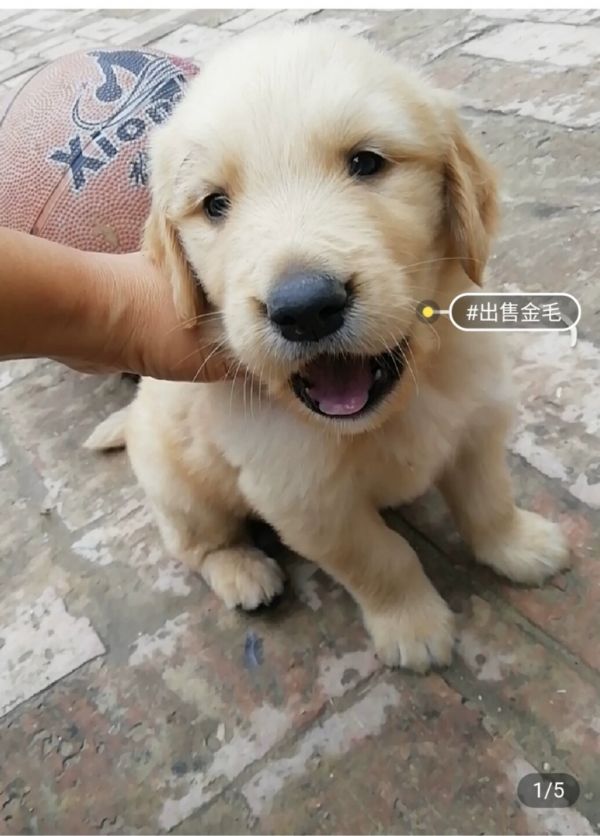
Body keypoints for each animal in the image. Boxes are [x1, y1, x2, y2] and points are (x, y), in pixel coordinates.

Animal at [86, 25, 569, 673]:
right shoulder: (307, 501)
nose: (305, 308)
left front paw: (520, 547)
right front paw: (414, 628)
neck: (394, 409)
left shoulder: (478, 420)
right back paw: (243, 572)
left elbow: (489, 499)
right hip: (179, 489)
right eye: (214, 204)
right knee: (195, 544)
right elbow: (382, 559)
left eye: (366, 163)